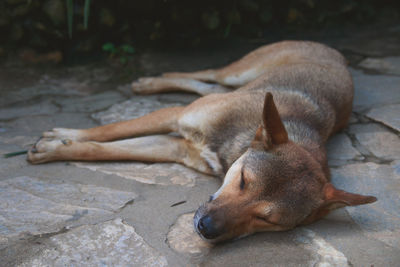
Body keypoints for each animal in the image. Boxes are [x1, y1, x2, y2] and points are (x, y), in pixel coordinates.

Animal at [27, 41, 376, 243]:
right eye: (243, 181)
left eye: (266, 219)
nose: (206, 228)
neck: (233, 144)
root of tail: (338, 54)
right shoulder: (175, 115)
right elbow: (108, 131)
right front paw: (58, 139)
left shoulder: (175, 148)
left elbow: (103, 150)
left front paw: (58, 145)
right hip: (238, 72)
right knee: (207, 73)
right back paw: (150, 81)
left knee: (204, 84)